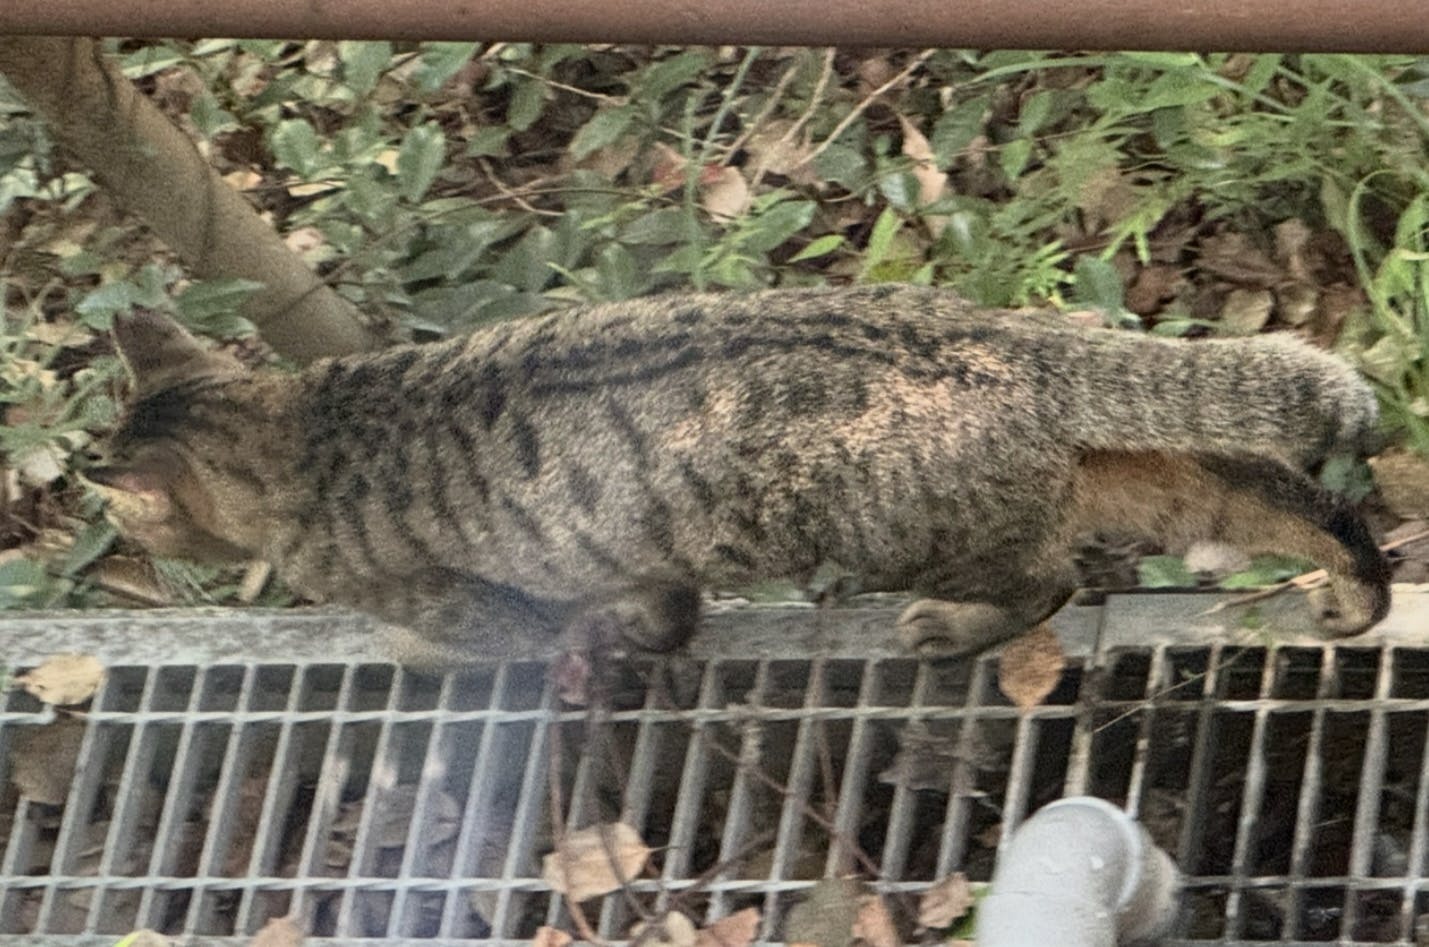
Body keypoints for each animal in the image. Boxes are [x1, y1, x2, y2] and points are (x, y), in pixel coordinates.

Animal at [87, 284, 1391, 660]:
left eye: (145, 532)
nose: (131, 547)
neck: (300, 424)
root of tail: (976, 326)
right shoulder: (637, 554)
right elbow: (656, 605)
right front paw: (643, 635)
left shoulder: (462, 598)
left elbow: (488, 642)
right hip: (1105, 468)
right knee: (1265, 489)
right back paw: (1356, 587)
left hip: (903, 525)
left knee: (1050, 578)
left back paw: (952, 628)